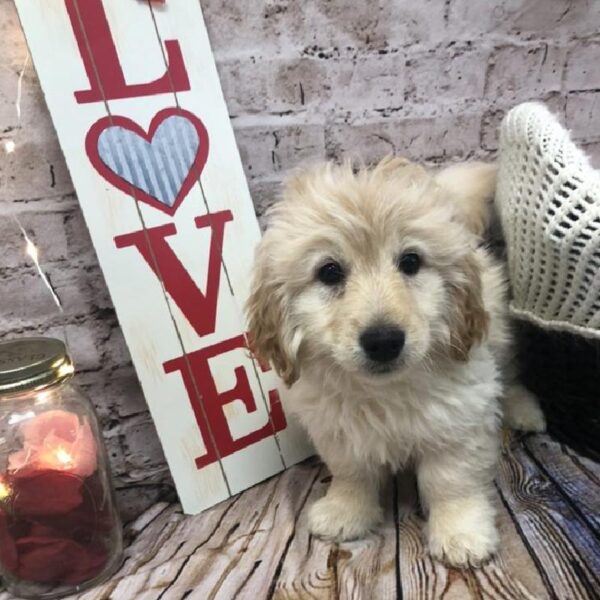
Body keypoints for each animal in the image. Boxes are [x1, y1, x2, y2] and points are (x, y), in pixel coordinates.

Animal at [246, 157, 548, 564]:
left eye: (411, 262)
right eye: (329, 271)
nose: (383, 341)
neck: (385, 390)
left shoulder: (460, 419)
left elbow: (450, 481)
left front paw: (461, 532)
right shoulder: (336, 428)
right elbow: (352, 473)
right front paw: (345, 512)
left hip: (499, 335)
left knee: (511, 376)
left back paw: (524, 411)